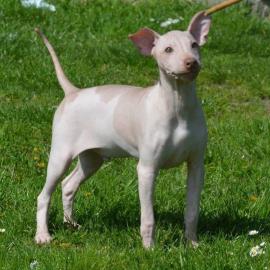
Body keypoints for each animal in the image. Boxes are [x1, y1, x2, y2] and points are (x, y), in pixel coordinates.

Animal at [34, 12, 211, 249]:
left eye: (194, 45)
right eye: (168, 49)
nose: (191, 62)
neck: (178, 106)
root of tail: (73, 92)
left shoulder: (196, 166)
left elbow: (191, 211)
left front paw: (193, 244)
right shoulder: (147, 169)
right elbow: (148, 217)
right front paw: (149, 249)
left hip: (92, 158)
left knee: (68, 185)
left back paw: (71, 224)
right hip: (60, 155)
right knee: (44, 195)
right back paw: (42, 235)